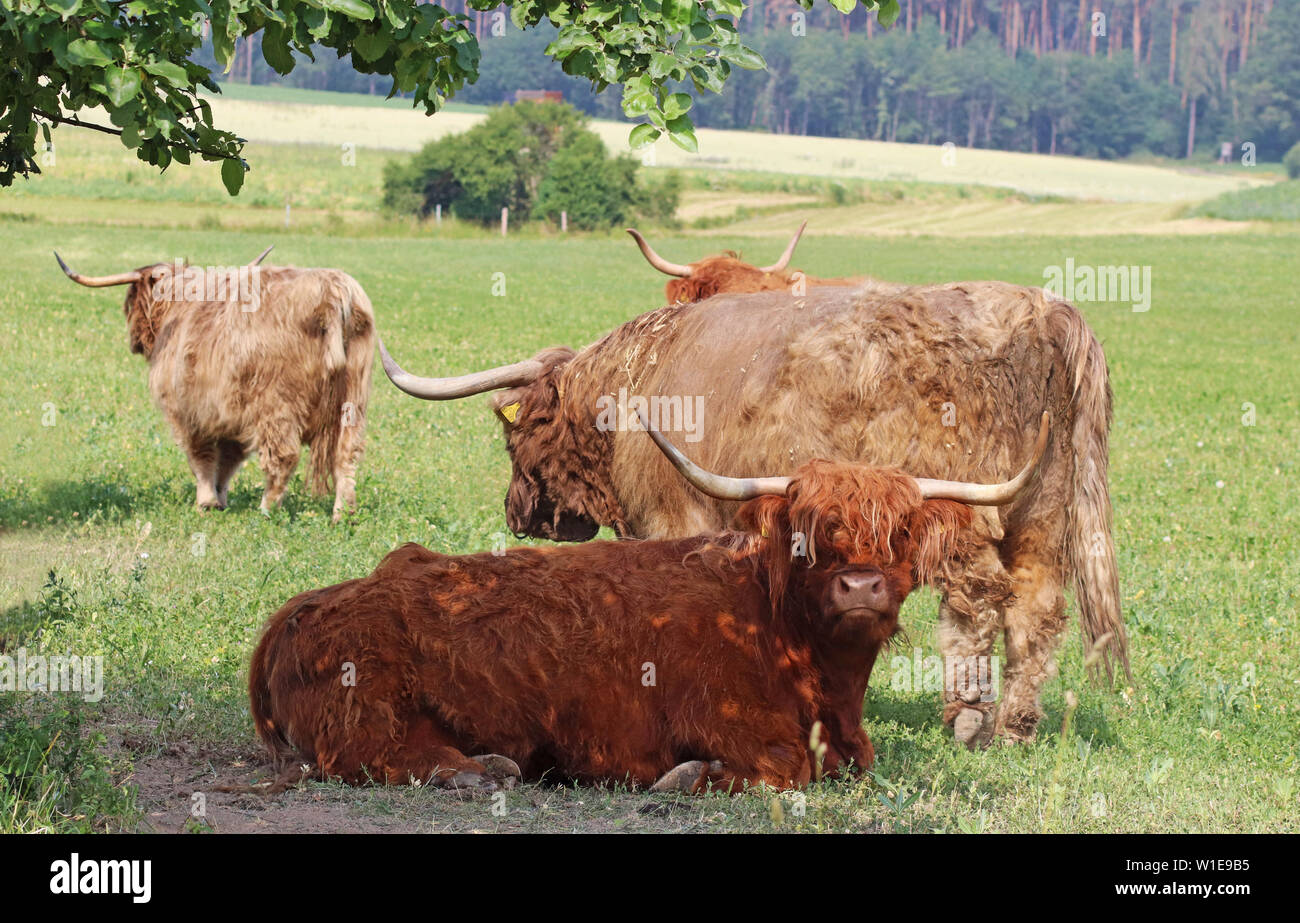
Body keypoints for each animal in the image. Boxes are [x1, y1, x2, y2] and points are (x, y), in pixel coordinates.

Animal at [53, 248, 374, 520]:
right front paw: (219, 499)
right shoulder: (228, 416)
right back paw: (343, 514)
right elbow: (228, 461)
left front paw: (206, 502)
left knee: (284, 455)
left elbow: (202, 457)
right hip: (353, 400)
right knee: (346, 453)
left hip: (277, 404)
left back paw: (267, 509)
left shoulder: (188, 412)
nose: (134, 341)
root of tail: (334, 293)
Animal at [248, 418, 1050, 795]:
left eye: (902, 530)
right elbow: (787, 764)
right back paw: (483, 769)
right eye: (807, 531)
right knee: (382, 757)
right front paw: (688, 776)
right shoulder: (730, 722)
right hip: (368, 709)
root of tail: (304, 606)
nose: (860, 587)